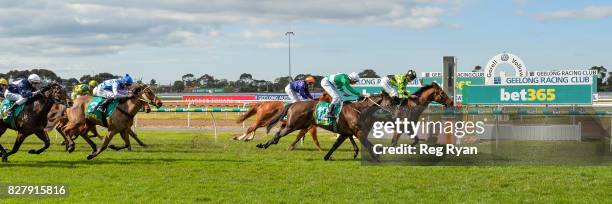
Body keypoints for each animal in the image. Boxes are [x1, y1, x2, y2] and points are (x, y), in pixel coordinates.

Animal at [258, 92, 396, 161]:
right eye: (389, 103)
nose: (395, 114)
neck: (359, 110)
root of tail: (293, 104)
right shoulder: (358, 132)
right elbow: (369, 145)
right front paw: (377, 156)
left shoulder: (346, 133)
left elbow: (336, 145)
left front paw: (326, 156)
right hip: (293, 125)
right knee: (278, 133)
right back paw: (264, 144)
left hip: (298, 124)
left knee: (281, 130)